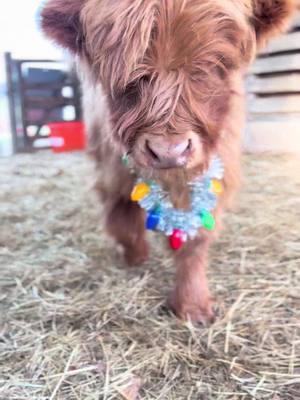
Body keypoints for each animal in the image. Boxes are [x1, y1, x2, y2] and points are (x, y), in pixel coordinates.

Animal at [41, 0, 294, 324]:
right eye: (126, 70)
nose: (168, 151)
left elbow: (194, 239)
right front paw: (136, 258)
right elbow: (123, 221)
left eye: (215, 63)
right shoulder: (113, 173)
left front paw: (193, 306)